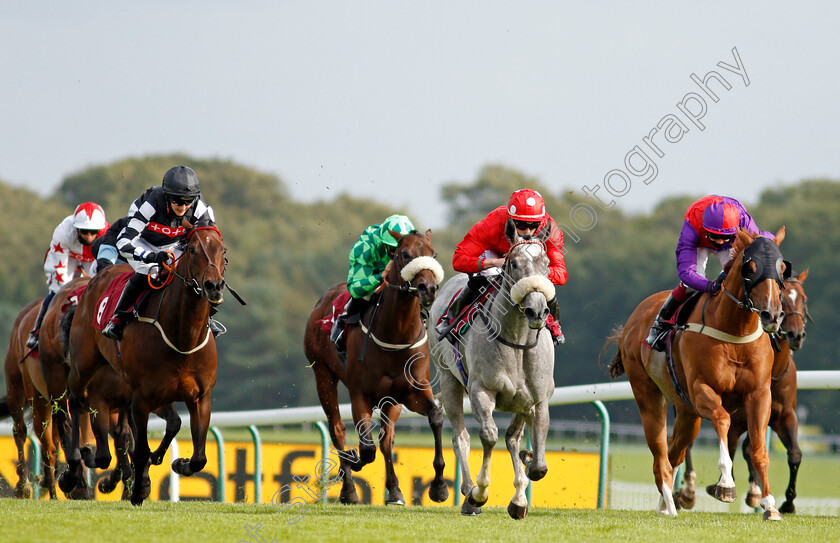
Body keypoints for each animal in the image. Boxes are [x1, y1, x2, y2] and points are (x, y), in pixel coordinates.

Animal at [59, 224, 226, 506]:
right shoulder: (140, 399)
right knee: (76, 401)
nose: (213, 285)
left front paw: (179, 464)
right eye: (193, 249)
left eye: (222, 250)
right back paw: (73, 470)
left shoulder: (200, 397)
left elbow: (199, 456)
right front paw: (137, 491)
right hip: (83, 364)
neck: (181, 336)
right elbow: (138, 449)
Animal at [300, 228, 446, 506]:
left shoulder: (412, 391)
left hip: (392, 400)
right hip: (322, 374)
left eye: (433, 254)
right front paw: (353, 462)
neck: (395, 333)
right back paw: (348, 488)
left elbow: (435, 416)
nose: (429, 288)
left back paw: (395, 491)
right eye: (404, 254)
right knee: (338, 429)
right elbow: (366, 448)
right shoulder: (360, 393)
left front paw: (439, 487)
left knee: (386, 439)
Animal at [426, 223, 556, 520]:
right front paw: (479, 493)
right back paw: (468, 494)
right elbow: (488, 436)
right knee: (460, 437)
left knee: (512, 439)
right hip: (449, 381)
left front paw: (520, 493)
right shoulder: (481, 390)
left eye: (546, 264)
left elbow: (537, 464)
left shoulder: (536, 399)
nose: (537, 310)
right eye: (514, 263)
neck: (517, 341)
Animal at [608, 230, 792, 524]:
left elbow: (759, 450)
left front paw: (770, 506)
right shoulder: (701, 389)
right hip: (648, 395)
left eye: (783, 269)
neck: (735, 333)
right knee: (661, 458)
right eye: (750, 269)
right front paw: (726, 485)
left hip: (686, 412)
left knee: (674, 453)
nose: (772, 315)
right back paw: (671, 506)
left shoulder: (759, 394)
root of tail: (635, 317)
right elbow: (722, 419)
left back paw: (665, 504)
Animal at [676, 270, 812, 516]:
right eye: (783, 298)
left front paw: (786, 502)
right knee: (688, 443)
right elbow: (736, 447)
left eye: (803, 300)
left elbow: (792, 453)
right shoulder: (736, 416)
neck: (774, 373)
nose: (796, 335)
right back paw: (687, 491)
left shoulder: (783, 415)